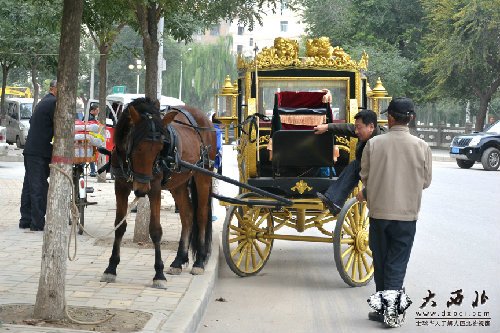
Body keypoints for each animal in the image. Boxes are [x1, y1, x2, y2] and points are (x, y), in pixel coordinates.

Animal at [101, 96, 217, 288]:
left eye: (159, 147)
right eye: (137, 146)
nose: (141, 189)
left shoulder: (154, 188)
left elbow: (155, 230)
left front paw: (159, 274)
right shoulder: (121, 187)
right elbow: (119, 226)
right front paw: (111, 268)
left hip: (203, 175)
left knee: (200, 215)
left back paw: (199, 262)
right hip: (178, 184)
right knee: (187, 215)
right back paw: (178, 261)